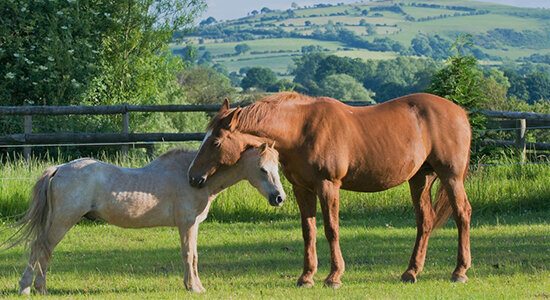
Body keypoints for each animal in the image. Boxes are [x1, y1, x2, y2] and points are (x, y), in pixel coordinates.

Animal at [4, 144, 286, 296]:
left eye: (277, 167)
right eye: (263, 169)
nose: (279, 198)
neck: (195, 178)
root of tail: (59, 169)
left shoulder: (192, 226)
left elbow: (193, 255)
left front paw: (195, 286)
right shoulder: (187, 224)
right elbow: (189, 255)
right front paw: (193, 287)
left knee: (43, 250)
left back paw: (38, 288)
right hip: (63, 220)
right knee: (41, 248)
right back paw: (28, 288)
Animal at [188, 92, 472, 288]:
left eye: (215, 142)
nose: (193, 178)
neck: (301, 129)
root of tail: (460, 112)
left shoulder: (328, 186)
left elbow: (331, 229)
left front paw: (334, 276)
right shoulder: (302, 189)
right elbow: (309, 232)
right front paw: (306, 277)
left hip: (451, 177)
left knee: (462, 214)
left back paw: (459, 272)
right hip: (420, 179)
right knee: (425, 222)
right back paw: (411, 272)